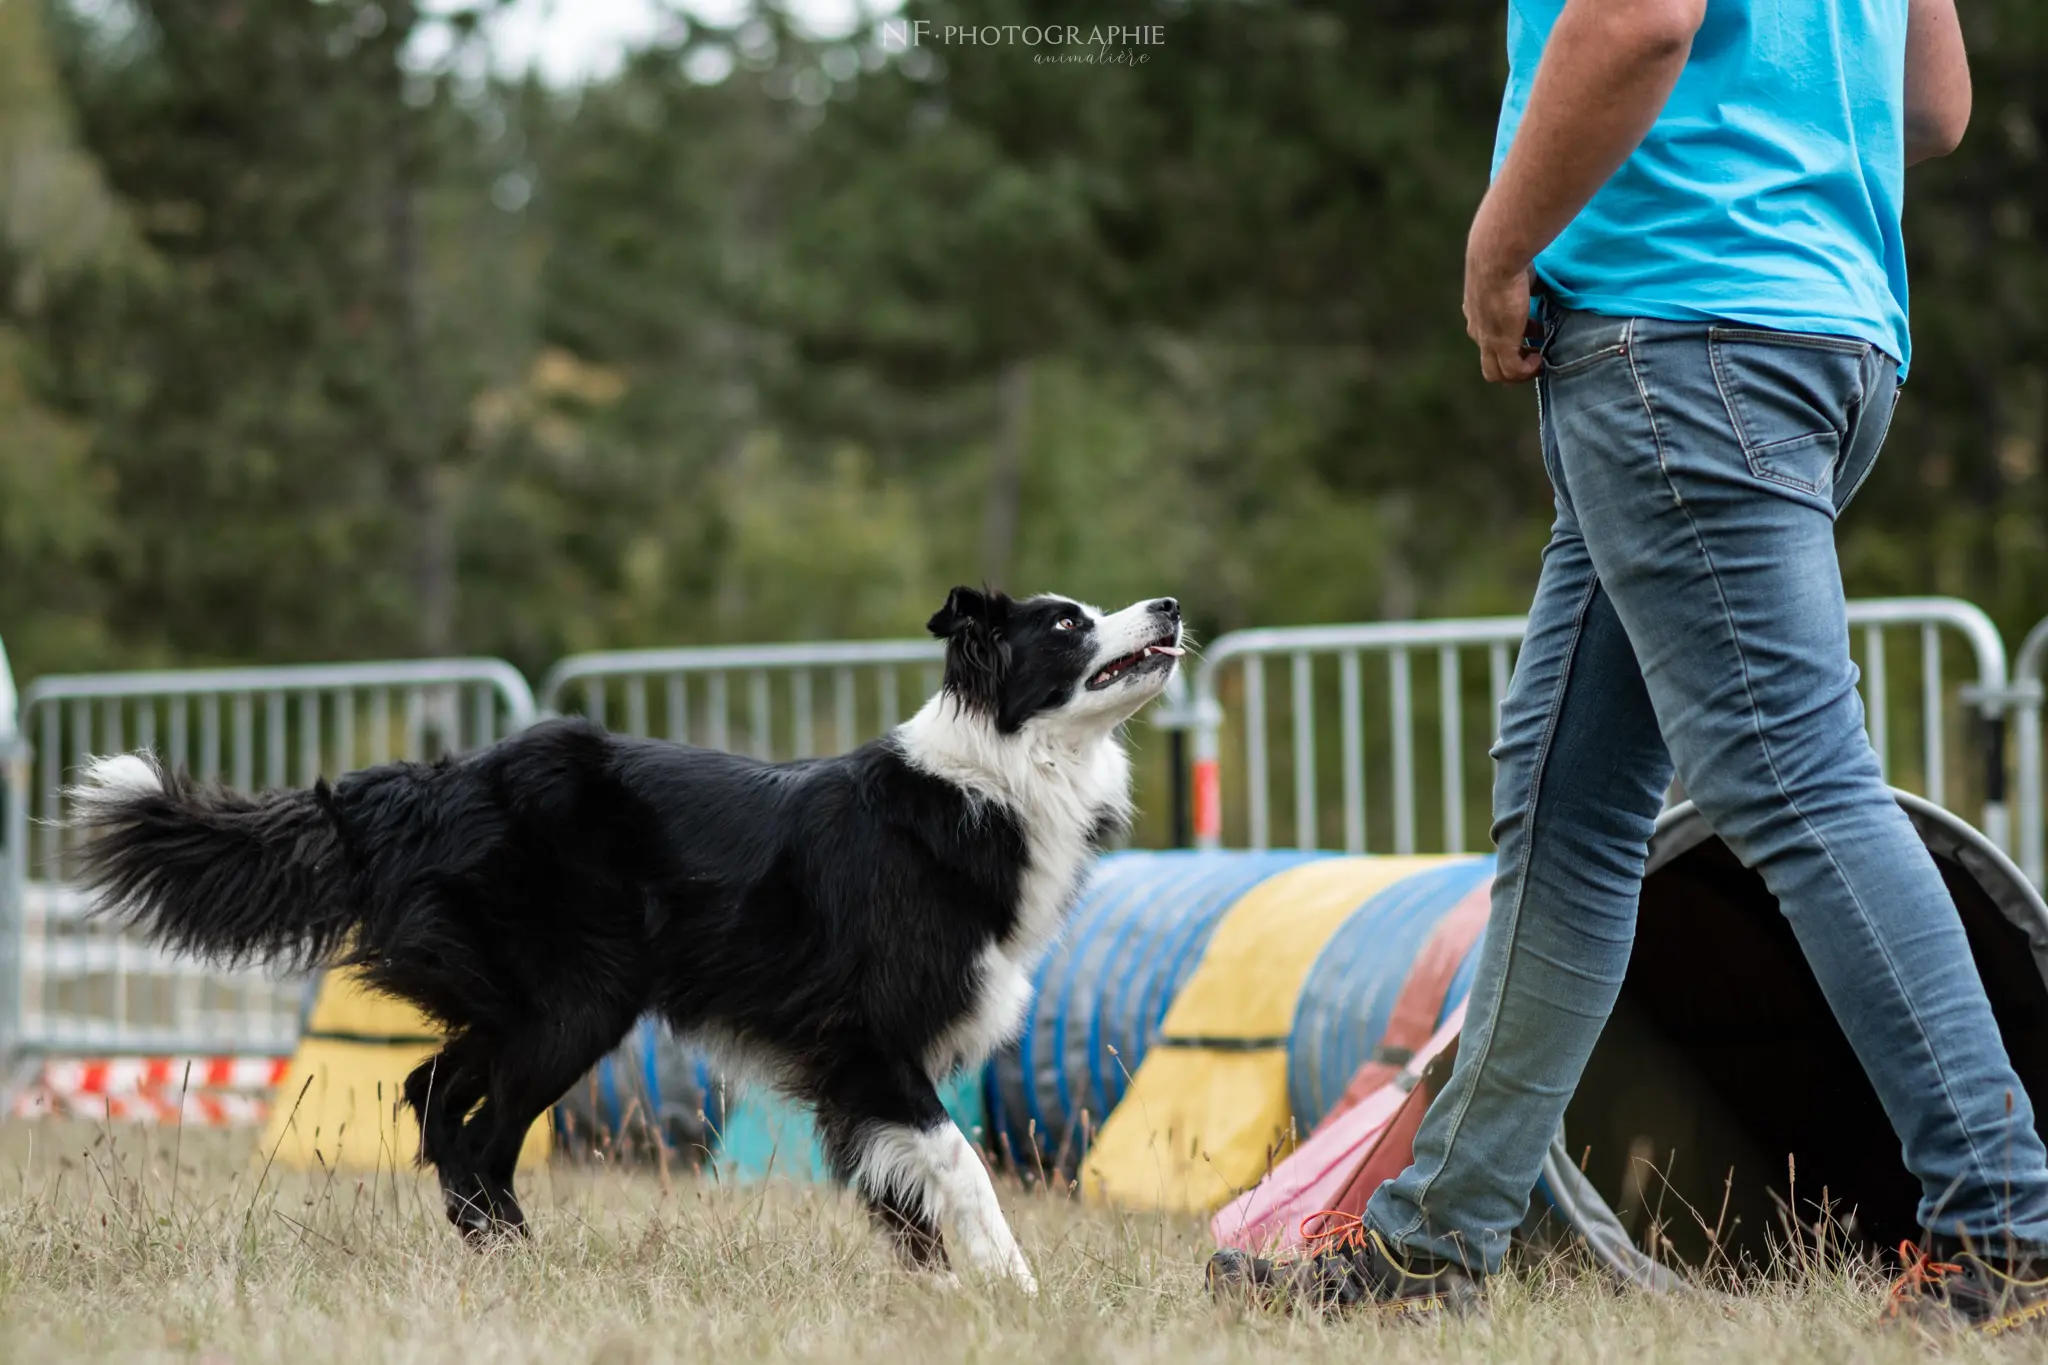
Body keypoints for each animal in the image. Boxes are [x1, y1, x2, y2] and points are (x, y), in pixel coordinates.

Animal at [64, 589, 1187, 1293]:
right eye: (1066, 622)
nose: (1172, 605)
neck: (993, 775)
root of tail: (427, 783)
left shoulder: (868, 1071)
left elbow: (897, 1184)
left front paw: (937, 1291)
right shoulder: (872, 1044)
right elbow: (957, 1165)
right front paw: (1012, 1284)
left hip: (520, 1003)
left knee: (434, 1094)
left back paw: (493, 1247)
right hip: (575, 1004)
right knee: (479, 1130)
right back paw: (519, 1255)